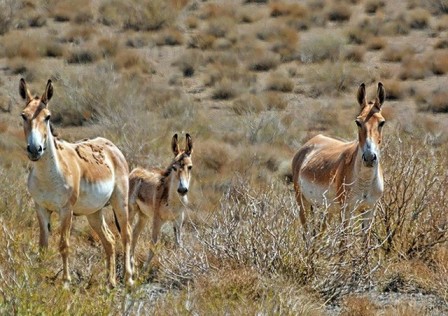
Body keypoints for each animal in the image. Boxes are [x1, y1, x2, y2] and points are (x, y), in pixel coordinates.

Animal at [18, 78, 133, 286]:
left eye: (47, 117)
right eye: (24, 115)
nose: (35, 150)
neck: (49, 176)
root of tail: (111, 146)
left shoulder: (66, 210)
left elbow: (64, 245)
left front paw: (65, 282)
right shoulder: (41, 208)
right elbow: (42, 247)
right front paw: (38, 280)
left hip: (120, 202)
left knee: (126, 235)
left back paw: (128, 279)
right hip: (94, 212)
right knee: (109, 240)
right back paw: (110, 283)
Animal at [129, 133, 193, 266]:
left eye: (190, 167)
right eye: (174, 167)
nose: (182, 189)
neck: (173, 202)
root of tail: (135, 170)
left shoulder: (178, 220)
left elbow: (179, 244)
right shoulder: (157, 220)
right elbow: (153, 245)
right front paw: (145, 268)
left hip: (143, 216)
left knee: (135, 233)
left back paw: (132, 262)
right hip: (131, 212)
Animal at [294, 82, 384, 233]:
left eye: (382, 122)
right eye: (358, 122)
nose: (369, 157)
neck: (365, 180)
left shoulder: (369, 210)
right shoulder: (346, 210)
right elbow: (345, 239)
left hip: (328, 210)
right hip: (303, 203)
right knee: (307, 234)